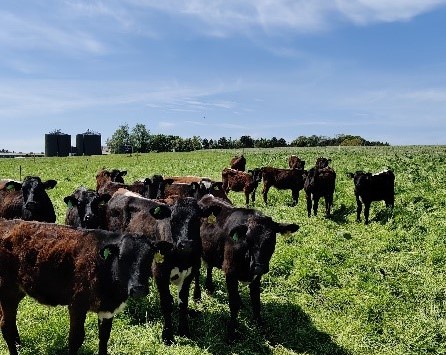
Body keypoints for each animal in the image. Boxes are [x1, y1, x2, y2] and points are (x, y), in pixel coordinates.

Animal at [0, 220, 167, 355]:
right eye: (122, 258)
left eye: (149, 258)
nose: (138, 289)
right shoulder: (77, 304)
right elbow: (76, 339)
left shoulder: (107, 308)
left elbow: (104, 337)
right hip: (7, 291)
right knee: (6, 326)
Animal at [106, 192, 221, 344]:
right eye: (173, 220)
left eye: (197, 219)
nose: (186, 243)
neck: (181, 258)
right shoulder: (160, 274)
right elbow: (166, 304)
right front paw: (168, 336)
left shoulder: (189, 274)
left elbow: (183, 302)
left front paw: (184, 330)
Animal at [199, 195, 300, 342]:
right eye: (248, 240)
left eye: (271, 240)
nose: (259, 267)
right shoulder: (230, 272)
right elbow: (233, 303)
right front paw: (232, 333)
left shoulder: (256, 277)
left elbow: (256, 302)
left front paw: (261, 328)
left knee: (209, 266)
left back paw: (209, 287)